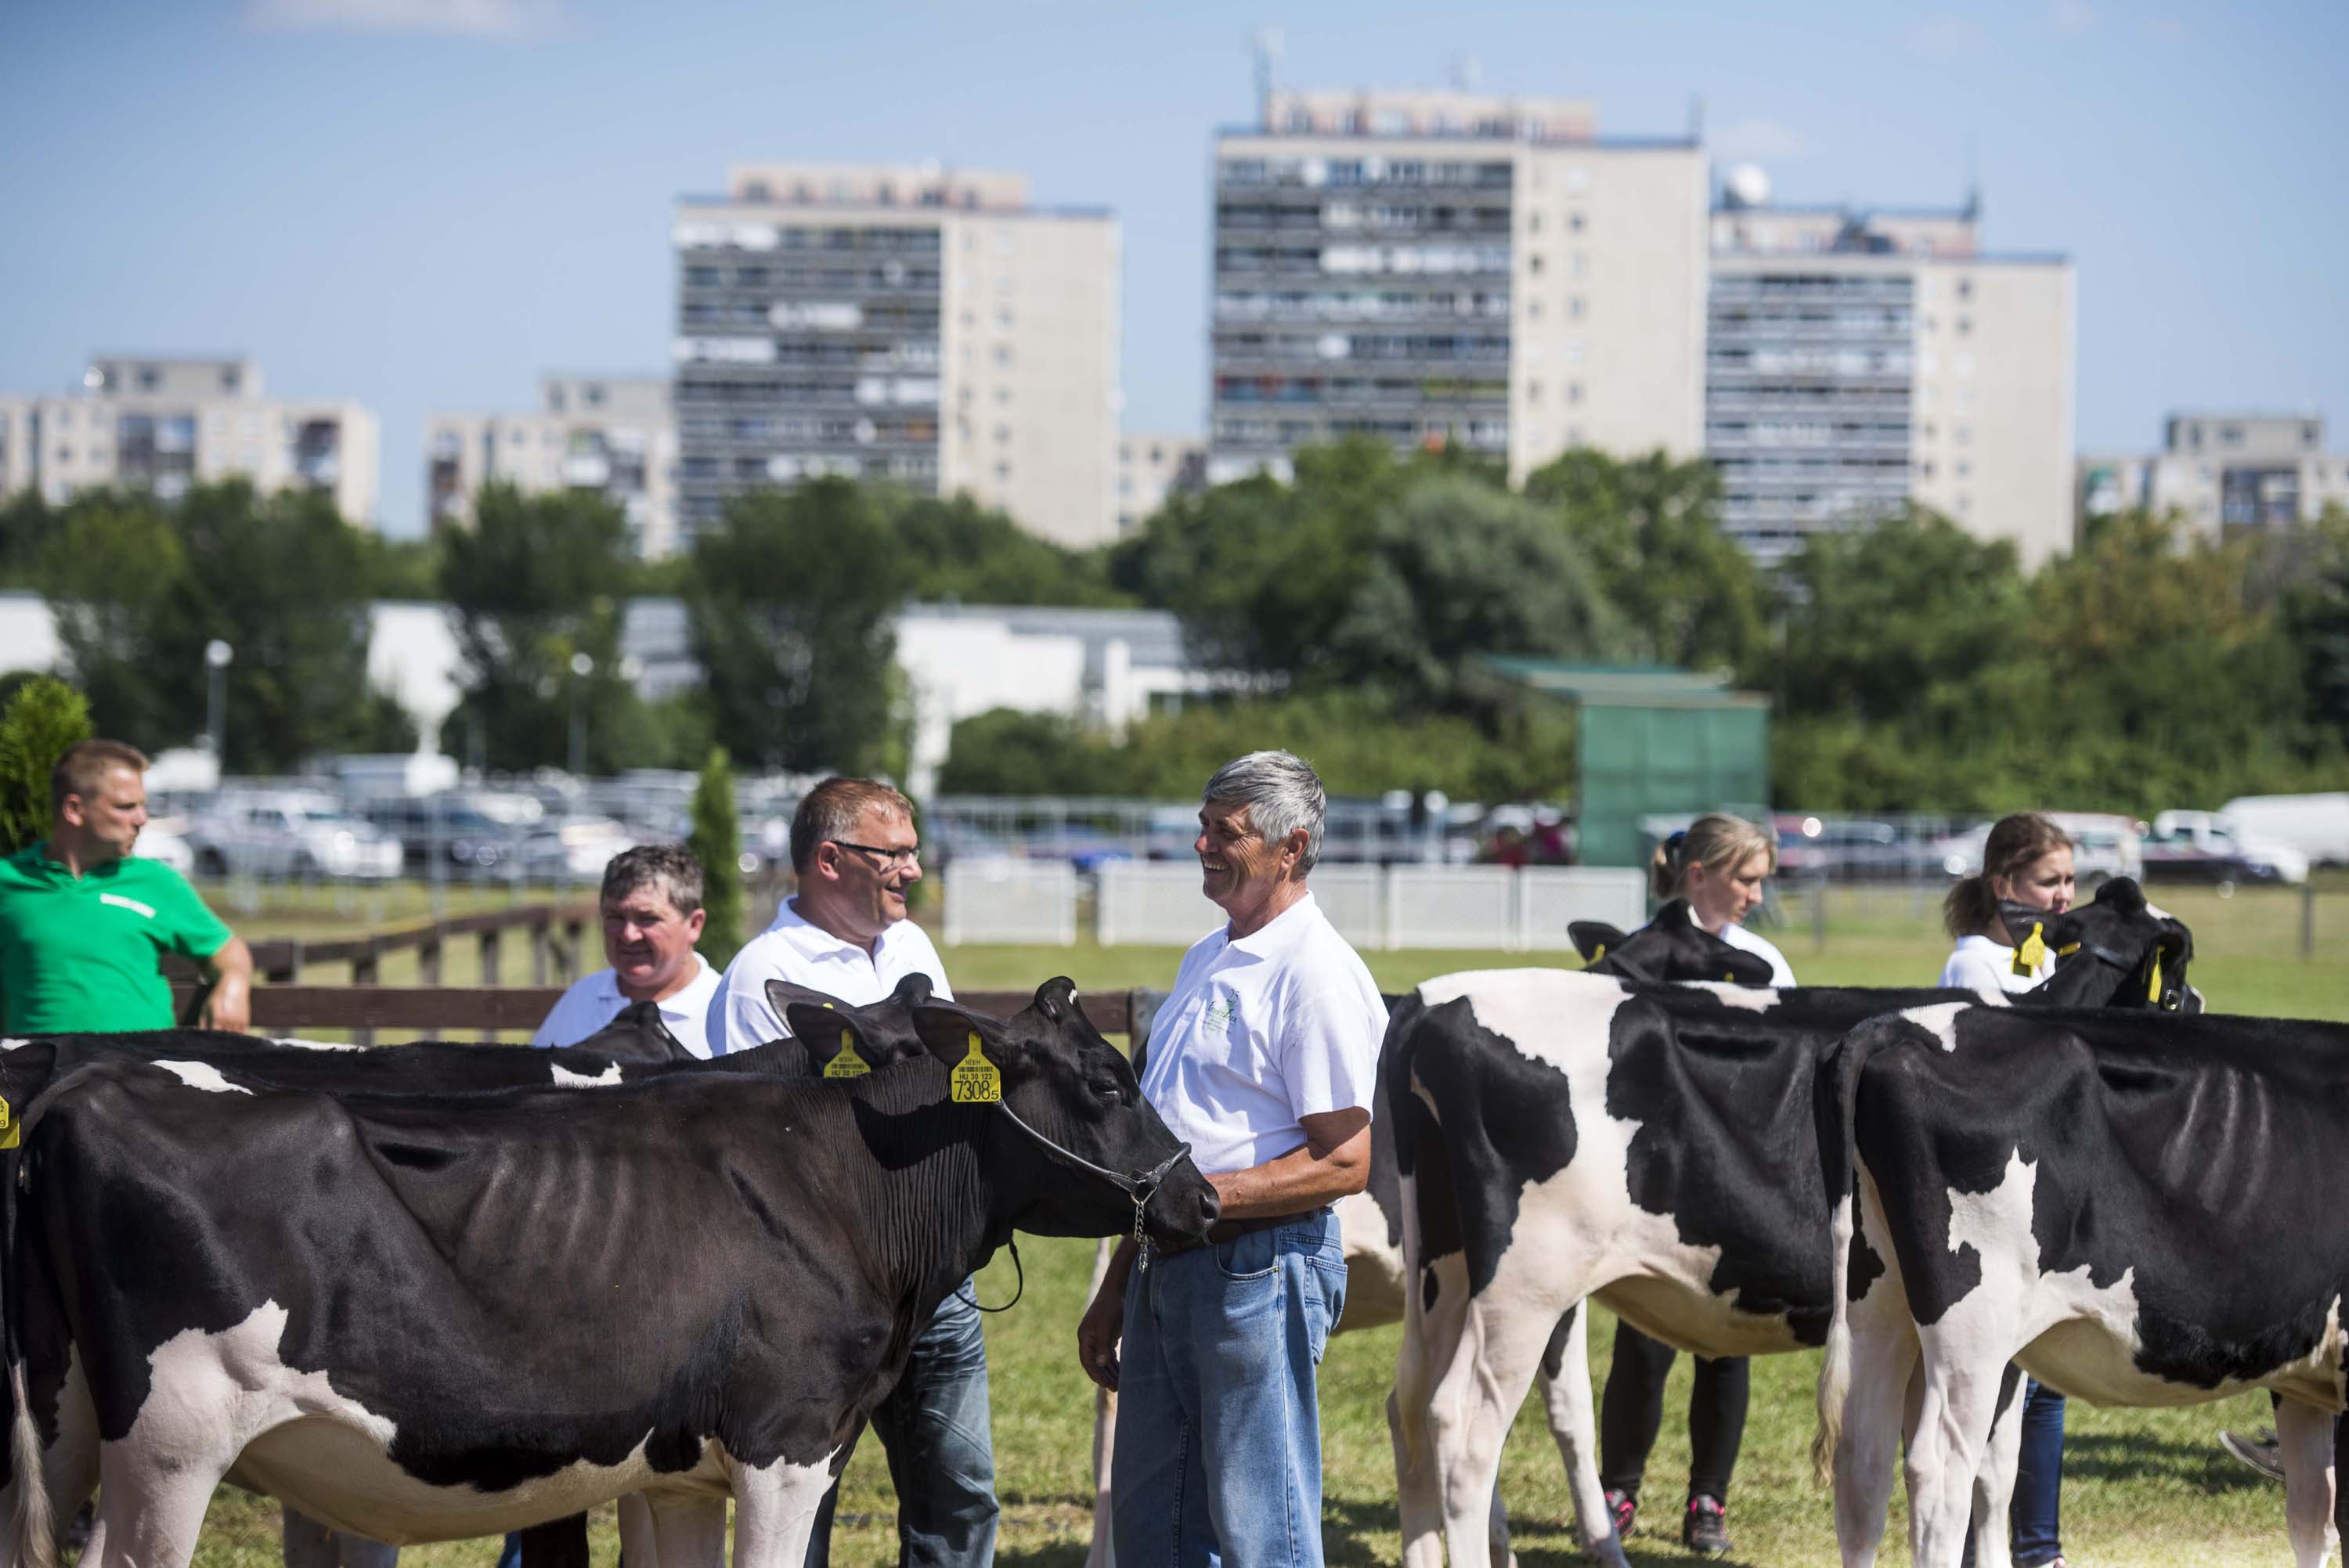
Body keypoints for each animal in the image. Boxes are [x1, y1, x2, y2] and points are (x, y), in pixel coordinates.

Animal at [4, 986, 1212, 1568]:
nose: (1201, 1197)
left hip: (63, 1427)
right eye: (1112, 1078)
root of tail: (80, 1092)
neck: (835, 1171)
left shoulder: (671, 1467)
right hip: (173, 1443)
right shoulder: (789, 1441)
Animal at [1381, 882, 2189, 1568]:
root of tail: (1433, 1001)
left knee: (1415, 1405)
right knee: (1466, 1428)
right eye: (2177, 986)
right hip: (1527, 1281)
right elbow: (1993, 1468)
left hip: (1447, 1268)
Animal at [1813, 1004, 2349, 1568]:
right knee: (1939, 1473)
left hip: (1877, 1299)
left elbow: (2312, 1517)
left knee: (1863, 1468)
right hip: (1975, 1327)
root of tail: (1904, 1023)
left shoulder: (2302, 1378)